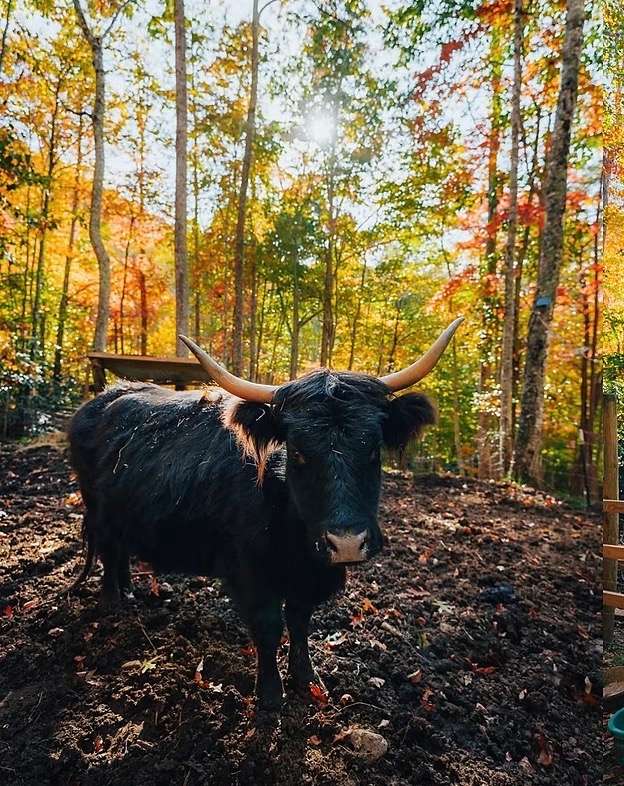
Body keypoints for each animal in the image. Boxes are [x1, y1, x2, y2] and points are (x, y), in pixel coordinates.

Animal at [68, 318, 463, 711]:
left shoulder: (308, 574)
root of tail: (104, 397)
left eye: (373, 449)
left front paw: (307, 679)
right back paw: (113, 604)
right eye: (298, 450)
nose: (347, 543)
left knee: (120, 551)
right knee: (108, 551)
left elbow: (300, 620)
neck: (294, 539)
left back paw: (130, 593)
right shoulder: (249, 572)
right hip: (96, 508)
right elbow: (269, 627)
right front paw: (271, 695)